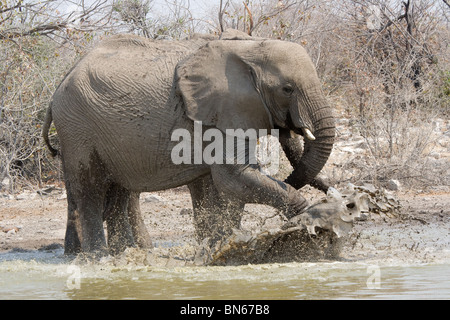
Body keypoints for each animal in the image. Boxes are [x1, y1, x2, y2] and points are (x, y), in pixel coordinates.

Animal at [42, 28, 336, 256]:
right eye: (287, 89)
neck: (249, 47)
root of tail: (59, 86)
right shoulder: (224, 110)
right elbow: (232, 177)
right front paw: (311, 220)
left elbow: (221, 186)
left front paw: (219, 246)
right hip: (77, 126)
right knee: (89, 187)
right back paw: (99, 258)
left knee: (116, 190)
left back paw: (124, 253)